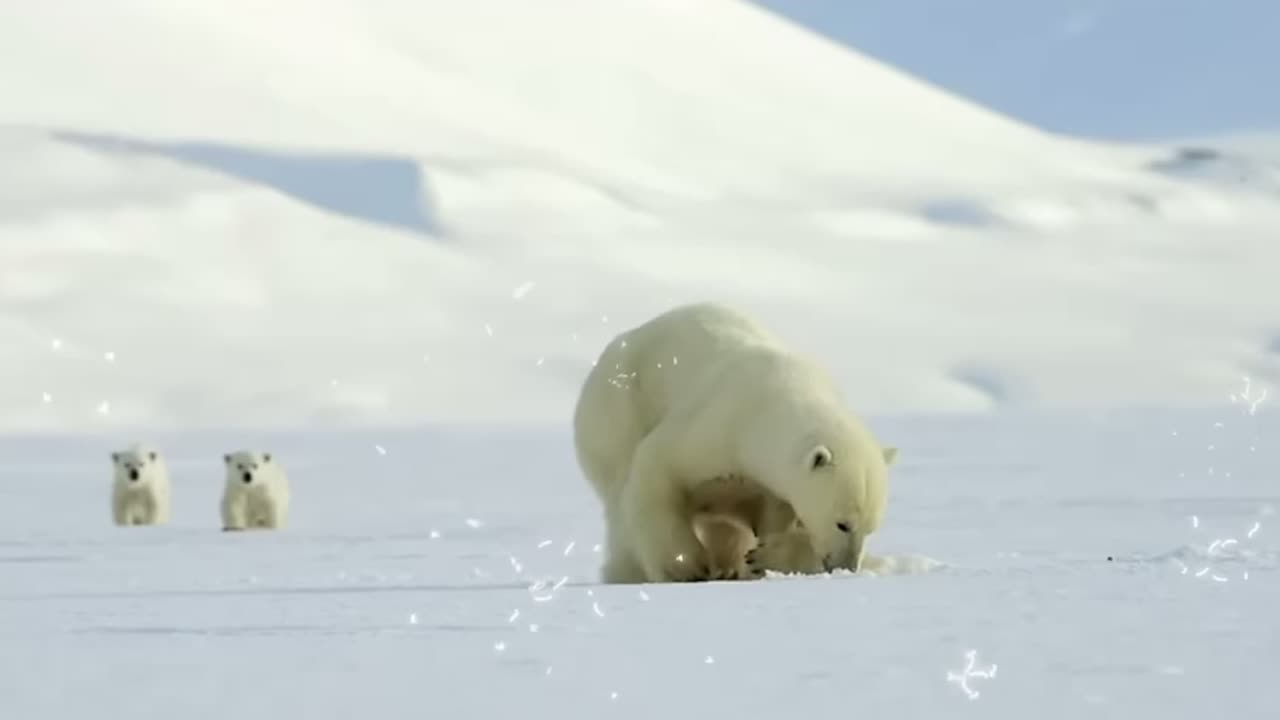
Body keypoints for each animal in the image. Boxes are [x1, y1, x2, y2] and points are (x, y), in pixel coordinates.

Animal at [576, 299, 896, 579]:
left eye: (871, 528)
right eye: (842, 524)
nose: (847, 566)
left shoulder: (769, 486)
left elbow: (777, 521)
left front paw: (764, 558)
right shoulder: (717, 422)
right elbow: (657, 467)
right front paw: (684, 567)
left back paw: (729, 566)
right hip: (617, 408)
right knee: (620, 494)